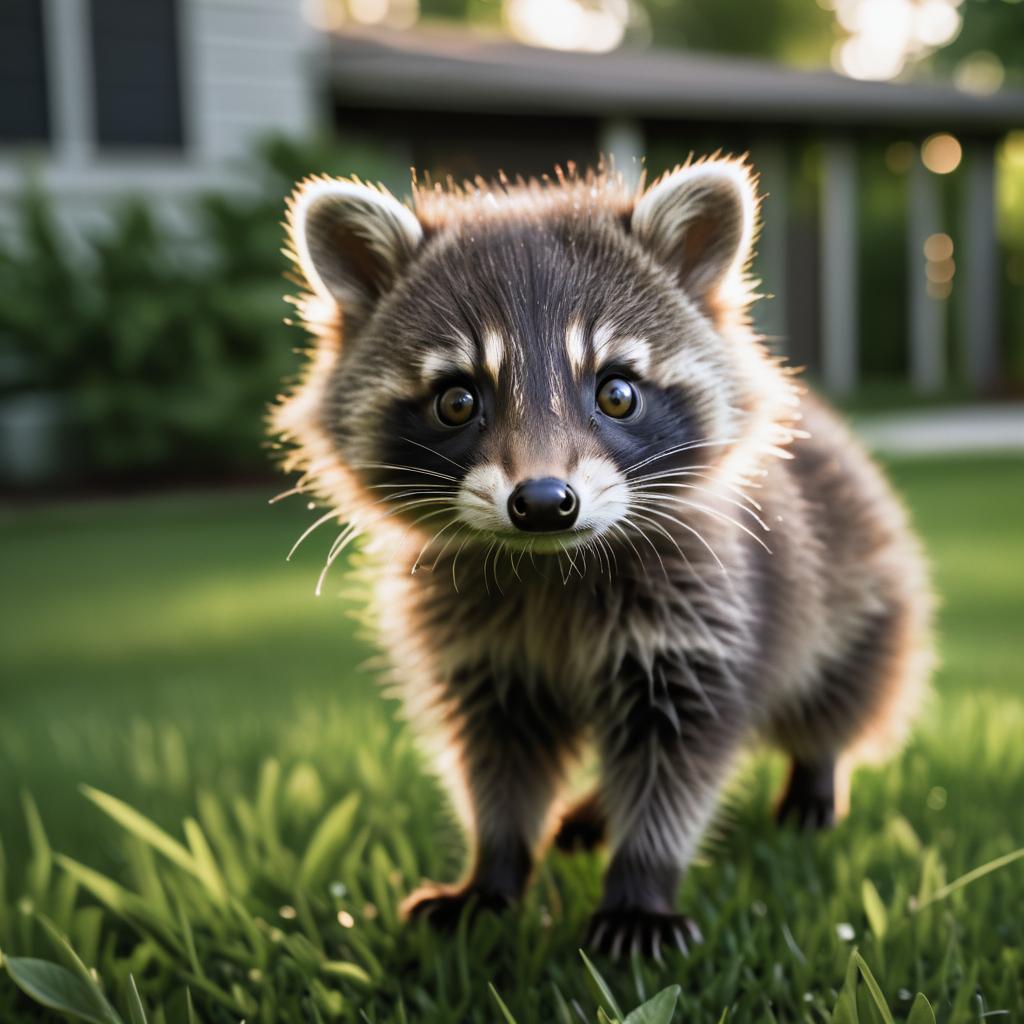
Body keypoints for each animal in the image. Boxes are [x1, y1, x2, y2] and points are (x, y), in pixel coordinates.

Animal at [276, 159, 933, 958]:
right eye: (457, 400)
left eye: (617, 392)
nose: (542, 502)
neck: (549, 561)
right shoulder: (481, 653)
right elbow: (498, 761)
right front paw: (492, 871)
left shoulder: (705, 617)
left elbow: (676, 759)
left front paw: (641, 882)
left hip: (865, 591)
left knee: (843, 692)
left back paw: (815, 774)